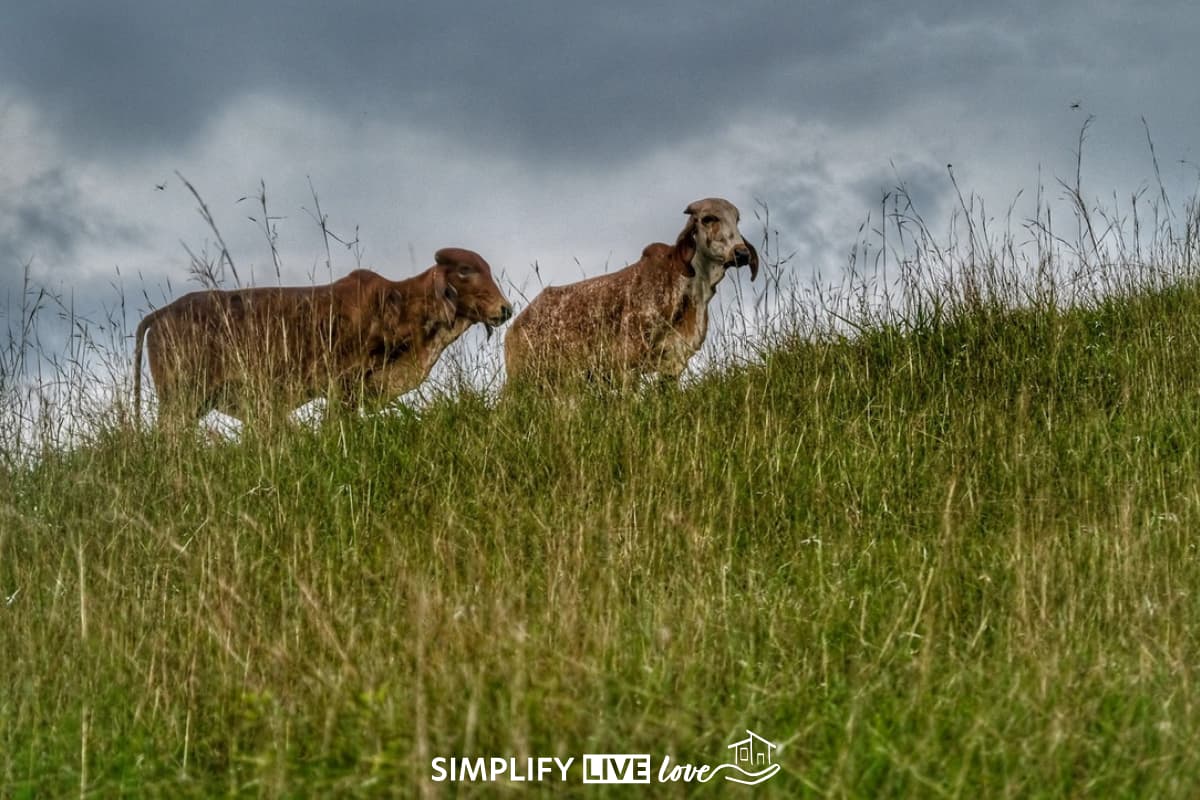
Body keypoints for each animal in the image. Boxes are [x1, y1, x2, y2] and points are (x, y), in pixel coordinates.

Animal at [133, 247, 512, 426]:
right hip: (180, 401)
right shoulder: (342, 386)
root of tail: (163, 313)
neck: (397, 303)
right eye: (465, 271)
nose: (505, 309)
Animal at [504, 198, 758, 388]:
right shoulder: (627, 364)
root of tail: (515, 326)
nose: (741, 253)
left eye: (736, 219)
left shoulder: (674, 364)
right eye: (708, 218)